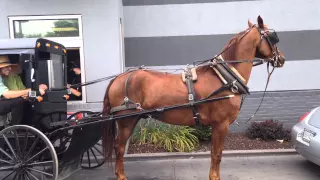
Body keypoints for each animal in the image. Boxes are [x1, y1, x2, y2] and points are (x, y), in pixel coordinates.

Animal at [102, 15, 284, 180]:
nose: (281, 58)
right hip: (126, 121)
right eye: (273, 37)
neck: (224, 78)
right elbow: (217, 154)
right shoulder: (221, 124)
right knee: (119, 148)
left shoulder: (216, 125)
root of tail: (119, 78)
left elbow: (214, 153)